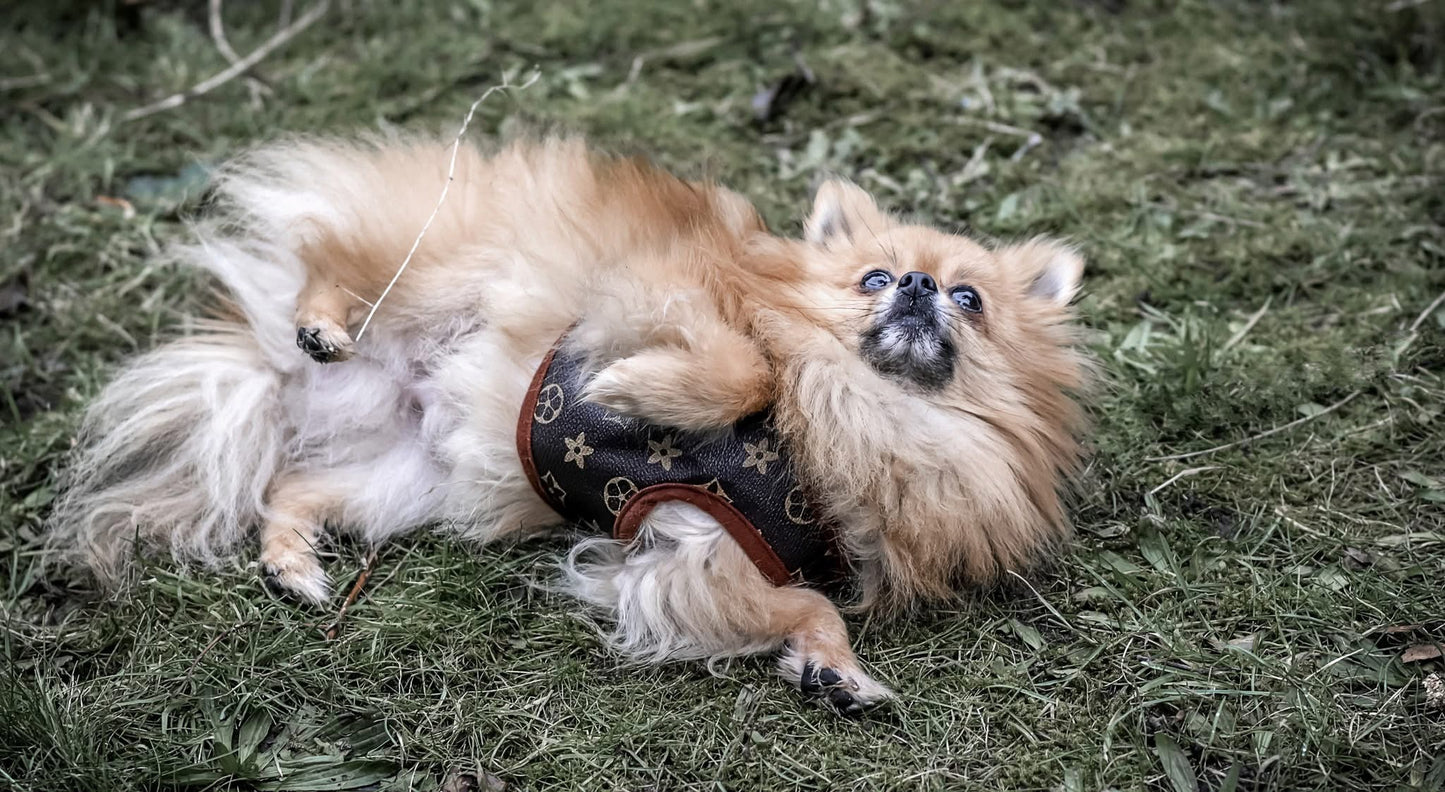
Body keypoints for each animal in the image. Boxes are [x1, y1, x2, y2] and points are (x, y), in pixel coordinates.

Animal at [50, 132, 1086, 713]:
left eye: (968, 298)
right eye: (873, 277)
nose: (915, 286)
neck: (860, 412)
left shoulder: (699, 559)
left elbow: (810, 606)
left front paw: (831, 673)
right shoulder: (661, 294)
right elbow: (743, 365)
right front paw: (628, 389)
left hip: (411, 480)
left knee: (294, 486)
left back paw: (294, 565)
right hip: (435, 264)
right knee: (330, 257)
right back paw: (321, 324)